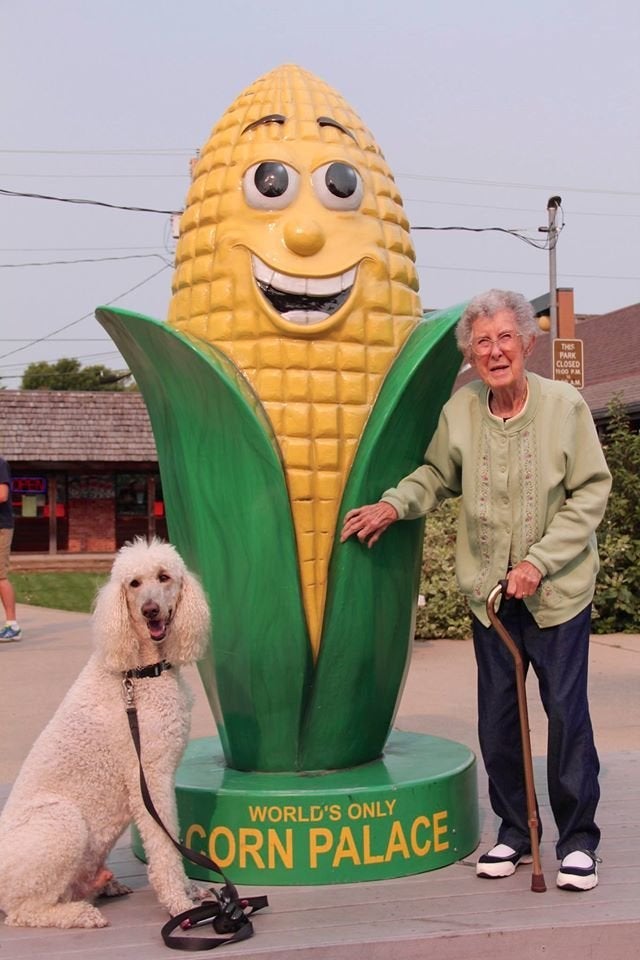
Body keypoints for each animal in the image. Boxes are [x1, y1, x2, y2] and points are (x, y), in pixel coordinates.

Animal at [0, 536, 211, 928]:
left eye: (164, 576)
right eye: (133, 584)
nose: (149, 611)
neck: (138, 673)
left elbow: (172, 837)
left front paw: (192, 892)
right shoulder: (149, 775)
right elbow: (165, 844)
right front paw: (179, 902)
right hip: (62, 820)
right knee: (23, 912)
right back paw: (81, 914)